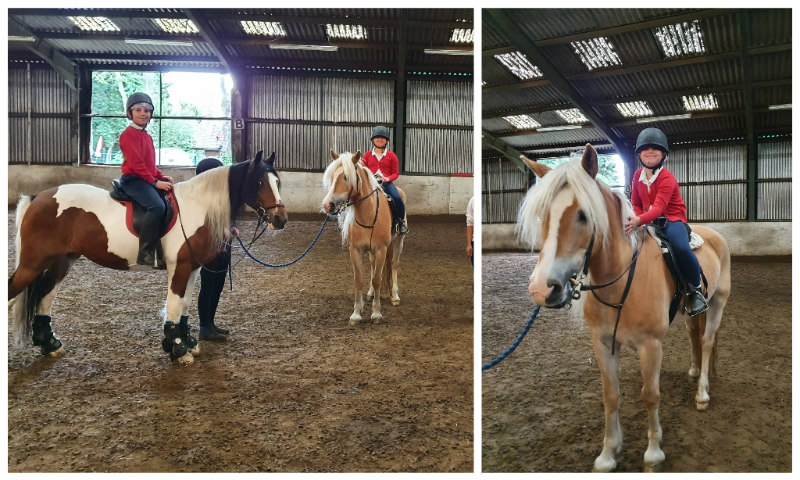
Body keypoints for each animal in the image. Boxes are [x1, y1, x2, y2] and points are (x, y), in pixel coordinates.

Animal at [8, 151, 287, 366]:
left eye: (278, 182)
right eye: (259, 183)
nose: (280, 219)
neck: (198, 208)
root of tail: (38, 197)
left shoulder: (192, 268)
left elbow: (185, 304)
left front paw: (187, 342)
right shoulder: (179, 268)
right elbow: (174, 306)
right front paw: (178, 350)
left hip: (62, 261)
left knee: (45, 296)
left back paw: (50, 345)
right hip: (32, 264)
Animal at [321, 150, 406, 325]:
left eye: (346, 177)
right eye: (332, 177)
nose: (327, 205)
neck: (368, 214)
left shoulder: (381, 250)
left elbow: (378, 279)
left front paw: (376, 314)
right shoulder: (355, 250)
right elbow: (358, 280)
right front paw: (356, 314)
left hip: (398, 241)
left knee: (394, 264)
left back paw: (395, 296)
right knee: (373, 266)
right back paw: (371, 293)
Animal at [516, 144, 731, 472]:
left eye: (583, 215)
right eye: (543, 215)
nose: (542, 290)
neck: (620, 280)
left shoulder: (650, 346)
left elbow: (650, 395)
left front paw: (653, 453)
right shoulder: (603, 343)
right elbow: (611, 395)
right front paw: (609, 453)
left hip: (718, 301)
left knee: (706, 341)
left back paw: (703, 393)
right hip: (692, 313)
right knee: (695, 335)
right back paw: (695, 372)